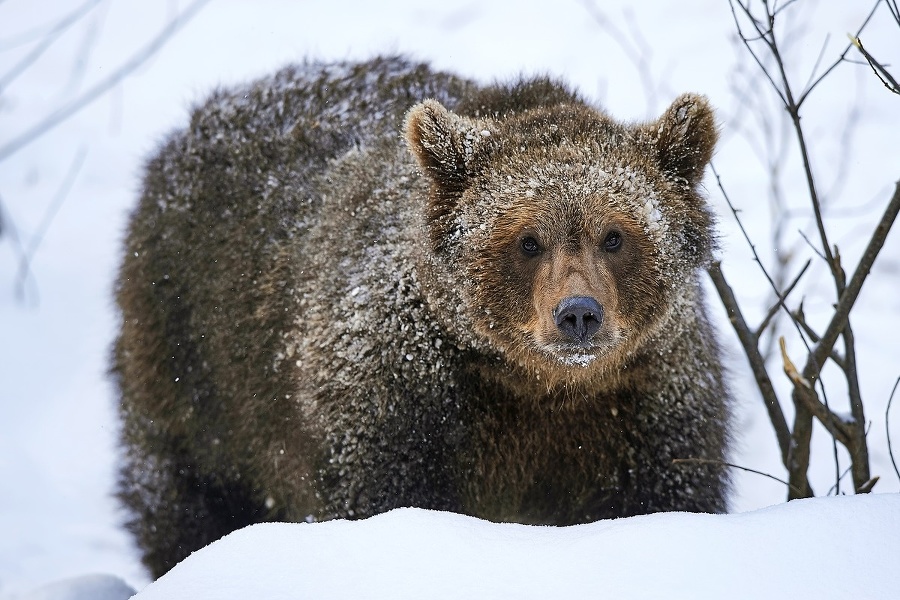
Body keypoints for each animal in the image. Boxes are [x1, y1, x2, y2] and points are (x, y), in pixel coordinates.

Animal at [112, 55, 732, 576]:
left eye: (615, 235)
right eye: (528, 241)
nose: (578, 314)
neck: (540, 390)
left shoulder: (647, 407)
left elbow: (666, 493)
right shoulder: (399, 399)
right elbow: (381, 497)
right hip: (191, 361)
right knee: (180, 489)